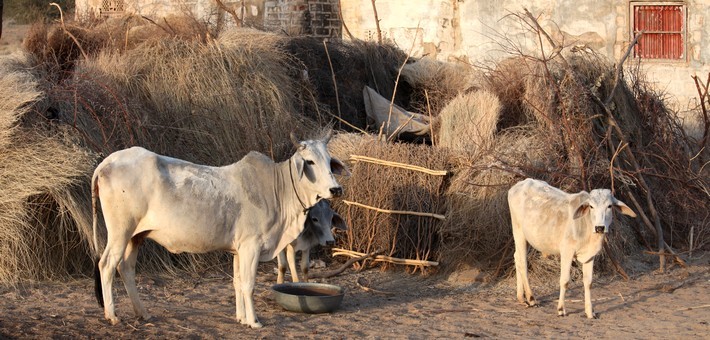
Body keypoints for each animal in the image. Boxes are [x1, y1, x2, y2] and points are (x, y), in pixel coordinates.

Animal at [91, 131, 350, 328]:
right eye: (310, 162)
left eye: (329, 161)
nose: (335, 189)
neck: (278, 189)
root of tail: (107, 162)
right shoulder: (251, 246)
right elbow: (248, 284)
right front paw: (254, 321)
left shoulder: (238, 250)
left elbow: (237, 283)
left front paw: (241, 318)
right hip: (120, 231)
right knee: (107, 265)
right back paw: (112, 315)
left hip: (136, 236)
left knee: (126, 268)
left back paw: (142, 312)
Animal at [508, 178, 636, 318]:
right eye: (591, 206)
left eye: (609, 206)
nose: (600, 228)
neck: (586, 225)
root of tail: (520, 184)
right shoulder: (566, 252)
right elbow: (564, 280)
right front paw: (561, 309)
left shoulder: (590, 256)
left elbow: (588, 282)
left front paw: (590, 312)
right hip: (519, 232)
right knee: (522, 262)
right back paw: (531, 298)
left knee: (516, 257)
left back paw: (521, 297)